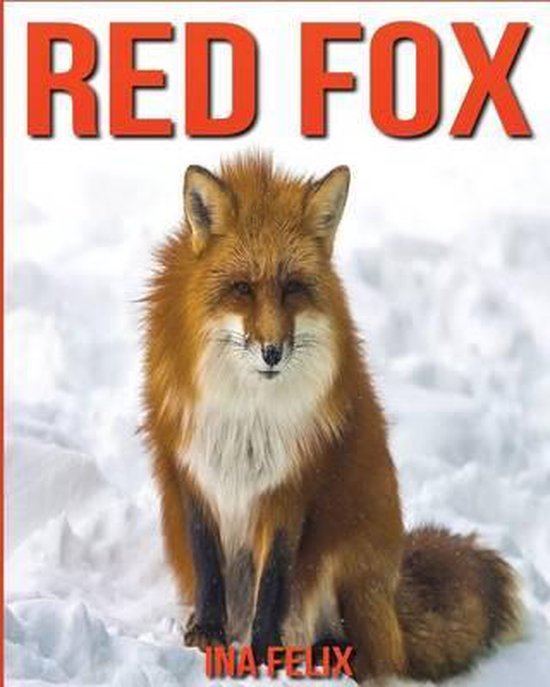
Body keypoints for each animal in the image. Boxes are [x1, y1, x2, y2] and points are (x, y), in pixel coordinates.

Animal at [142, 152, 522, 683]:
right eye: (242, 289)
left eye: (293, 289)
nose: (272, 352)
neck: (248, 412)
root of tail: (394, 592)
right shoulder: (192, 471)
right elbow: (209, 568)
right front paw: (209, 638)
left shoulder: (290, 487)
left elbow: (272, 587)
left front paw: (261, 657)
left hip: (342, 563)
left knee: (363, 650)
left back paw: (326, 659)